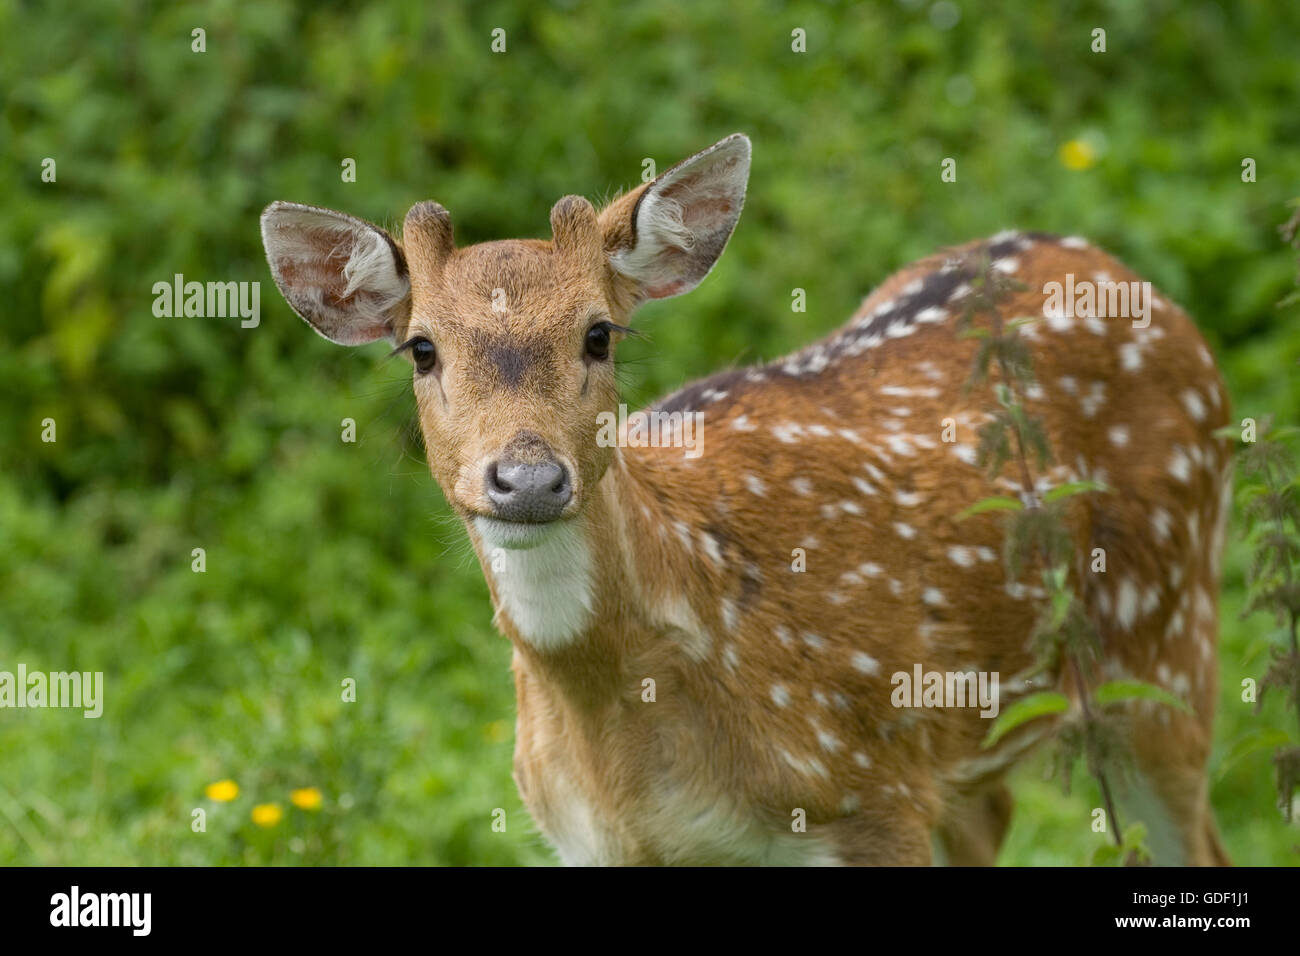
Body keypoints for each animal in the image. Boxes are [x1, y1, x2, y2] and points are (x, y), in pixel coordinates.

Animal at [260, 133, 1233, 866]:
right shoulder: (591, 843)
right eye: (421, 348)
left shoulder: (875, 794)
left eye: (599, 333)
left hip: (1168, 645)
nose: (528, 478)